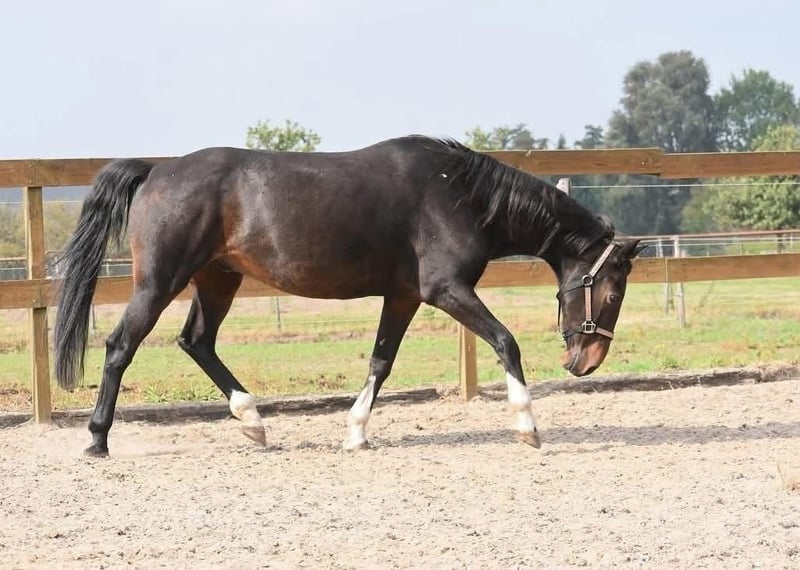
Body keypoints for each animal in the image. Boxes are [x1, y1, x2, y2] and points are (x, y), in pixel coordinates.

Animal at [53, 136, 643, 457]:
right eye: (613, 291)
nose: (586, 361)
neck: (459, 194)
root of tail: (157, 169)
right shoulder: (446, 289)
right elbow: (505, 341)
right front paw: (528, 427)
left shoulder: (404, 297)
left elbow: (382, 361)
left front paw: (356, 433)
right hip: (160, 281)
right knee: (120, 345)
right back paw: (97, 439)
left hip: (218, 279)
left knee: (197, 341)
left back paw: (253, 421)